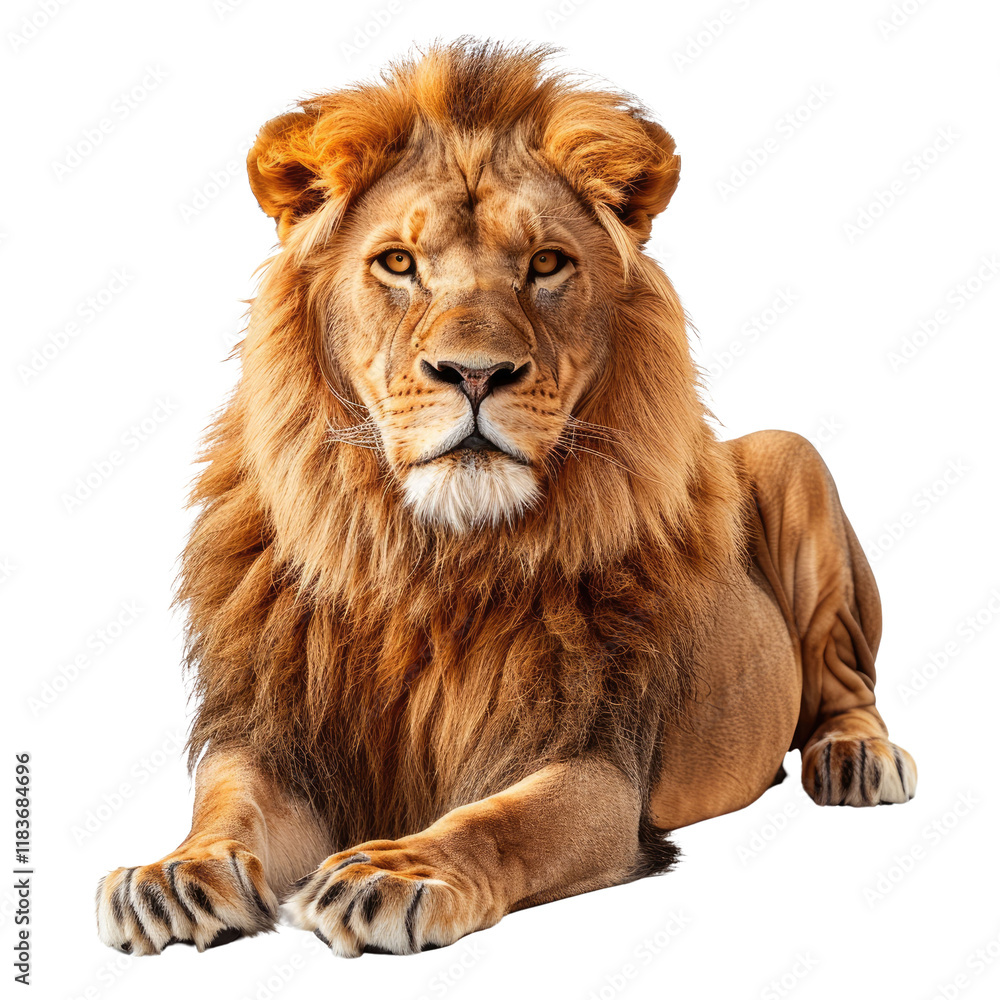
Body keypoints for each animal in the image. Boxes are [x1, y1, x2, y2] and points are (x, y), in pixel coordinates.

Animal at [96, 40, 916, 958]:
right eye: (398, 263)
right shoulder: (280, 737)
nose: (476, 373)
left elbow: (495, 824)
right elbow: (227, 799)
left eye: (547, 263)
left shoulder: (597, 764)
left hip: (792, 456)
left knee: (846, 682)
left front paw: (395, 872)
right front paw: (174, 872)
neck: (431, 559)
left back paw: (857, 759)